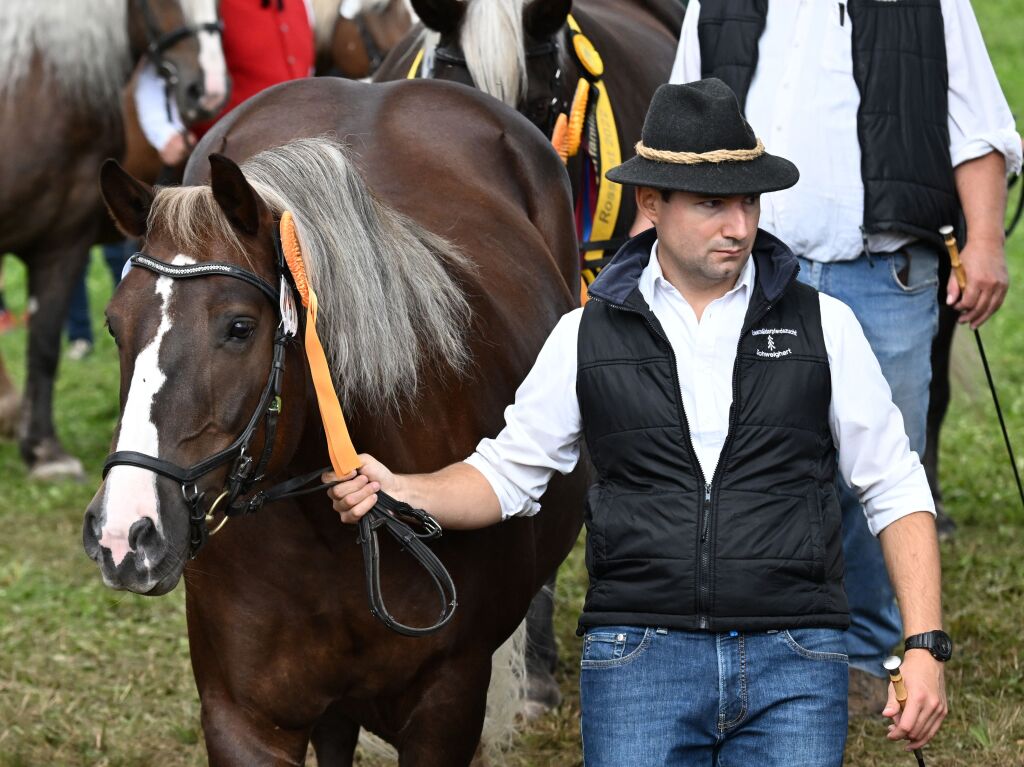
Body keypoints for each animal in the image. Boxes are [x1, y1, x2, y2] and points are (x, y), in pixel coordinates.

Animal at [0, 1, 224, 479]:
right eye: (160, 2)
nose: (208, 90)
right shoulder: (61, 243)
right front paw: (42, 448)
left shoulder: (61, 240)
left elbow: (43, 344)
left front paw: (40, 447)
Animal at [82, 74, 585, 761]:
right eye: (114, 324)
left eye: (239, 328)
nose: (124, 534)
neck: (332, 537)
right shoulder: (243, 717)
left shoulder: (446, 707)